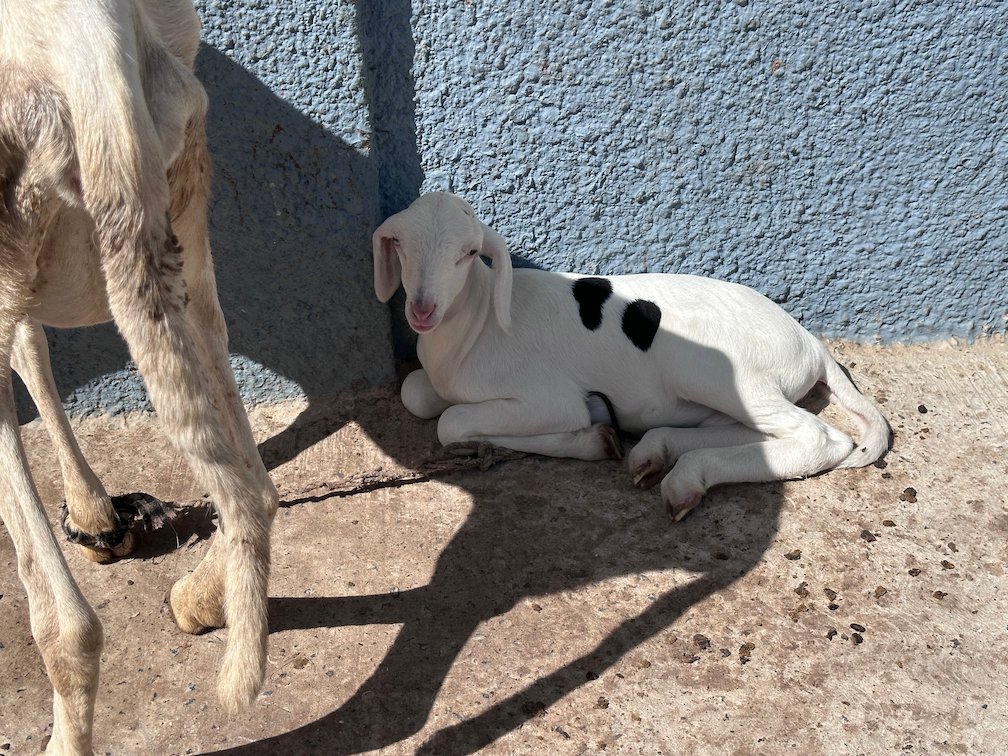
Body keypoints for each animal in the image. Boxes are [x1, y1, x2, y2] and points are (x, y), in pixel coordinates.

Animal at [1, 1, 278, 751]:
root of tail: (86, 47)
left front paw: (91, 516)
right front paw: (96, 516)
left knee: (69, 627)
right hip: (180, 216)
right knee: (252, 486)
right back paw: (199, 598)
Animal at [373, 192, 891, 521]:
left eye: (467, 253)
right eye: (400, 244)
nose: (422, 310)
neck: (475, 326)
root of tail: (810, 342)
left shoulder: (549, 400)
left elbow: (452, 423)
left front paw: (590, 438)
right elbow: (416, 392)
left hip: (713, 369)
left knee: (821, 438)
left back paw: (683, 478)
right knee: (748, 432)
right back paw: (661, 455)